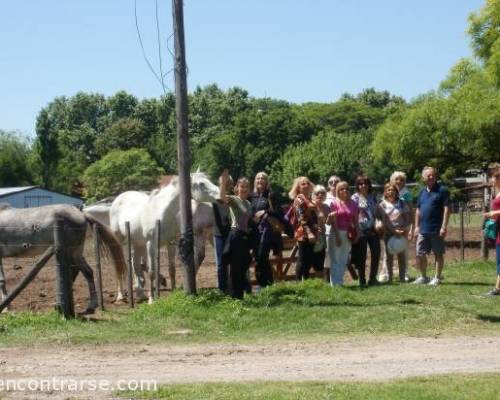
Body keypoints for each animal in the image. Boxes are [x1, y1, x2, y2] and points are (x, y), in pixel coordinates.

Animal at [109, 173, 219, 304]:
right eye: (201, 184)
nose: (220, 195)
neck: (161, 213)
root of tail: (118, 198)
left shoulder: (170, 243)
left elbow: (172, 269)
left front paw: (173, 291)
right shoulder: (151, 245)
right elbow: (151, 271)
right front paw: (152, 300)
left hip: (138, 244)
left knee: (135, 264)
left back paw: (140, 293)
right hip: (124, 242)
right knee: (125, 265)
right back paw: (124, 295)